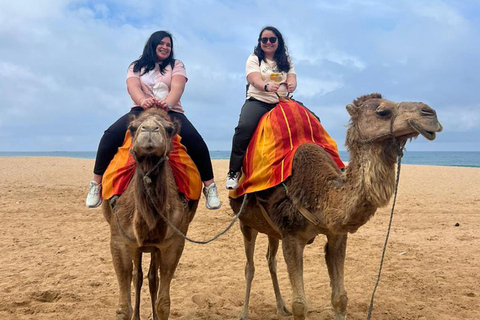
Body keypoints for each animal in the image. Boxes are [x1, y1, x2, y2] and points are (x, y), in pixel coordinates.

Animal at [102, 108, 198, 320]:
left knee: (151, 277)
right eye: (132, 128)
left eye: (170, 129)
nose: (150, 130)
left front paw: (157, 312)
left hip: (154, 247)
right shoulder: (120, 240)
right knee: (137, 276)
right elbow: (123, 308)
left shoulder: (174, 242)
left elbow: (164, 304)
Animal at [231, 93, 444, 320]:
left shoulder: (336, 235)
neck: (320, 193)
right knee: (250, 266)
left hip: (272, 229)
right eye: (382, 111)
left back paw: (281, 307)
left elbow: (340, 298)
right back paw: (244, 313)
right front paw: (294, 306)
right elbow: (300, 304)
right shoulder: (291, 236)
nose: (430, 113)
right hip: (245, 223)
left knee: (271, 260)